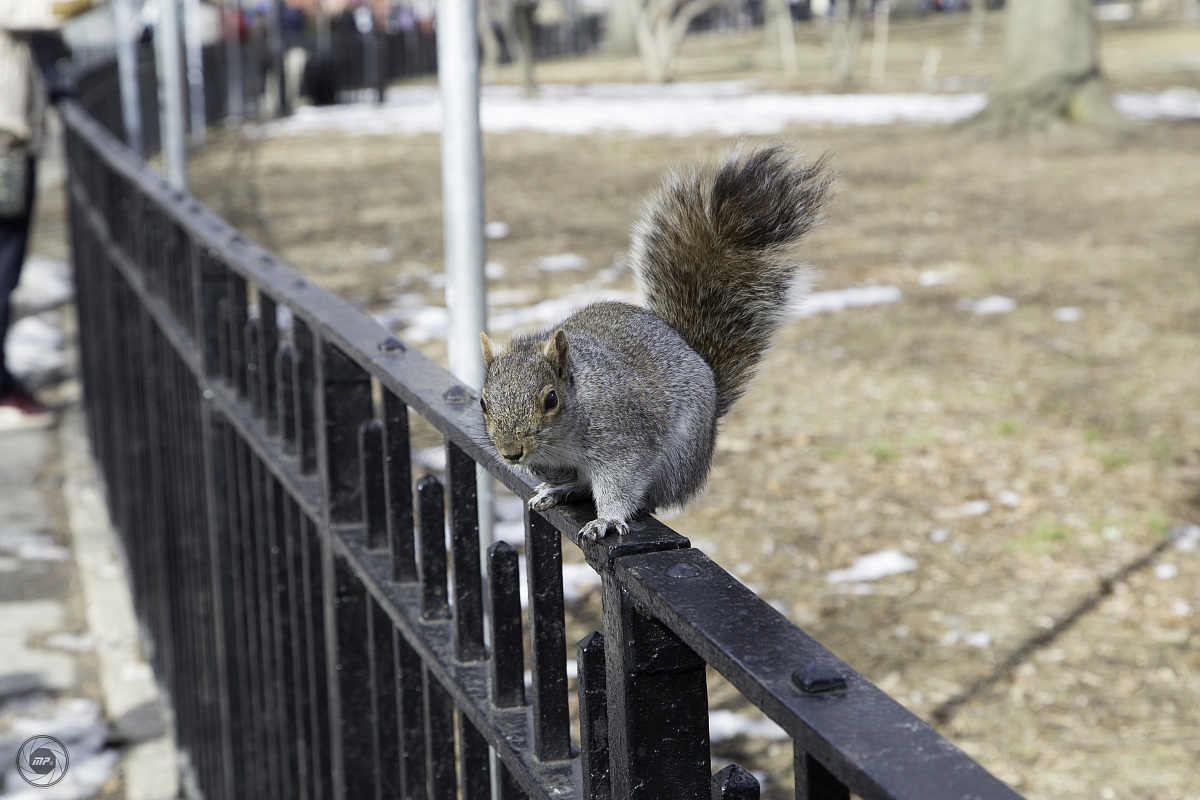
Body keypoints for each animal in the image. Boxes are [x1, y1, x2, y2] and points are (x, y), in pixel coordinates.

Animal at [479, 144, 835, 543]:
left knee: (646, 497)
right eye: (482, 402)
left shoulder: (623, 441)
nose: (511, 453)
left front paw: (605, 519)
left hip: (678, 460)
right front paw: (551, 478)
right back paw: (561, 489)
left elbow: (619, 483)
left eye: (551, 399)